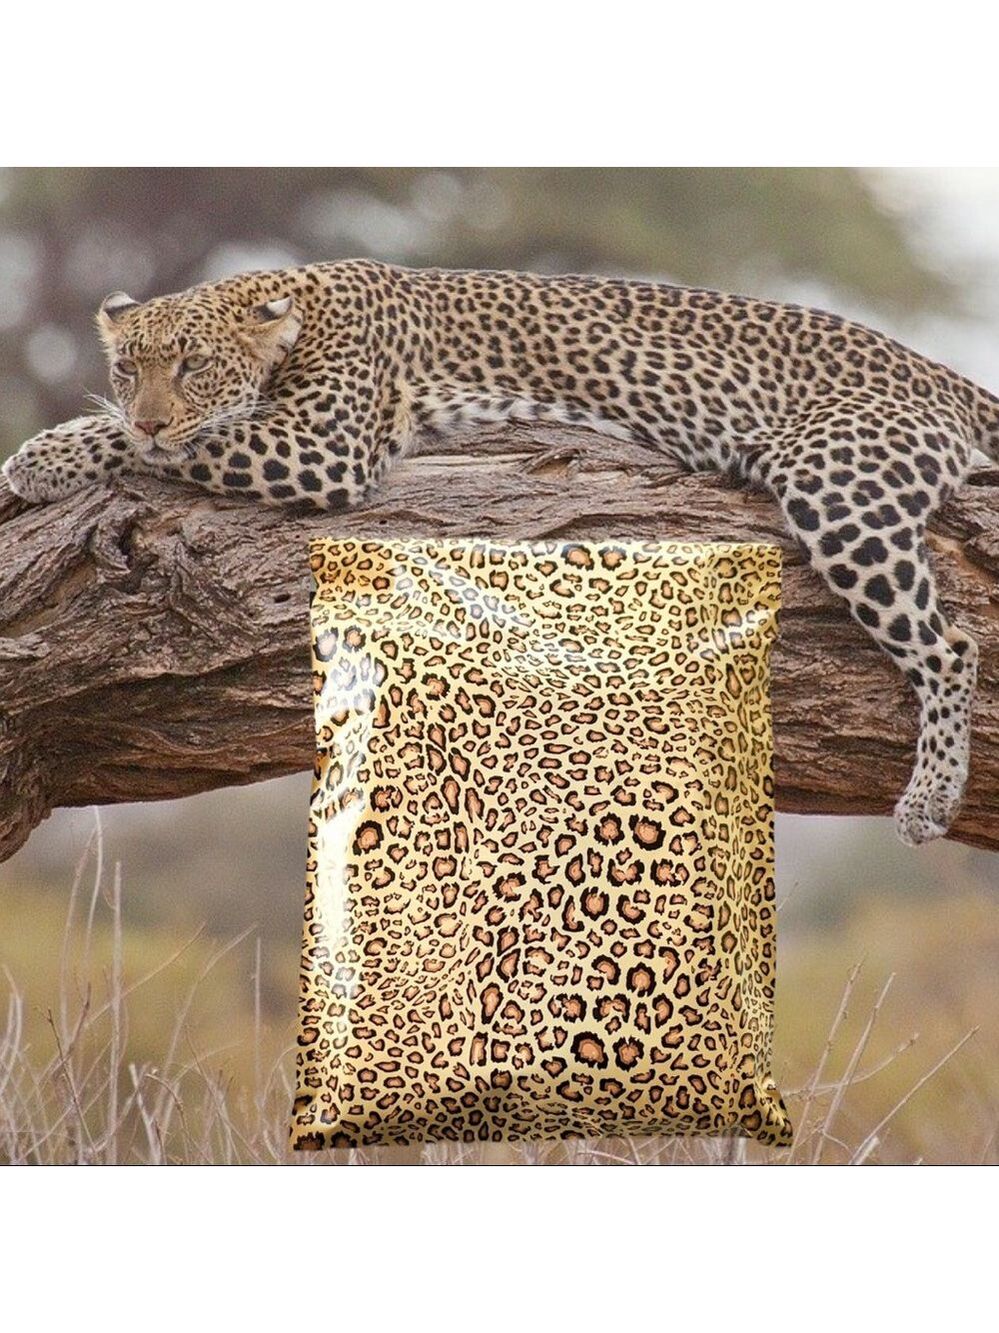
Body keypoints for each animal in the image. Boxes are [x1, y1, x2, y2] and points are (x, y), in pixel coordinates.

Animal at [3, 258, 996, 847]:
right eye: (130, 365)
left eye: (193, 365)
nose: (148, 409)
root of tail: (935, 372)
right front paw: (63, 445)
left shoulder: (322, 447)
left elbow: (174, 443)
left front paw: (44, 455)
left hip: (837, 482)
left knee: (949, 645)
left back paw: (928, 799)